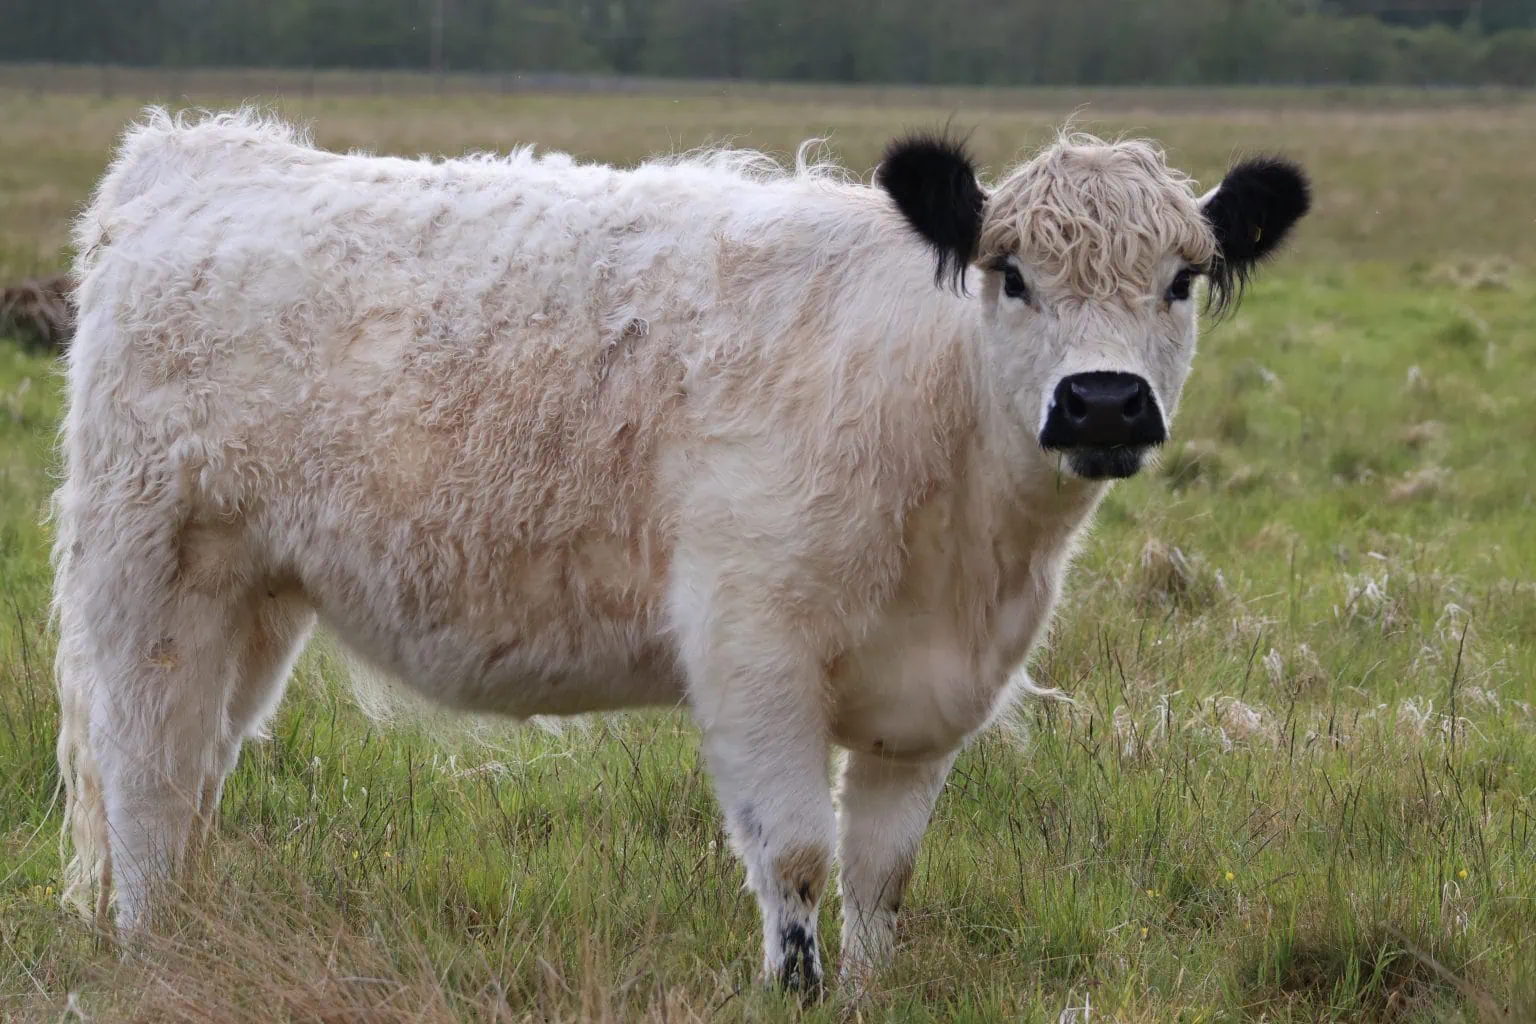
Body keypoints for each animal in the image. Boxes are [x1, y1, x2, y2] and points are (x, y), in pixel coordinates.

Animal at [52, 107, 1309, 993]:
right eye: (1014, 275)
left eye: (1181, 279)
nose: (1103, 402)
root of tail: (199, 153)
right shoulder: (755, 650)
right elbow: (796, 856)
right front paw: (797, 991)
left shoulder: (930, 698)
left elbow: (884, 873)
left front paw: (870, 990)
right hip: (154, 574)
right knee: (146, 772)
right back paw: (153, 950)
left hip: (256, 600)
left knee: (199, 767)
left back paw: (193, 932)